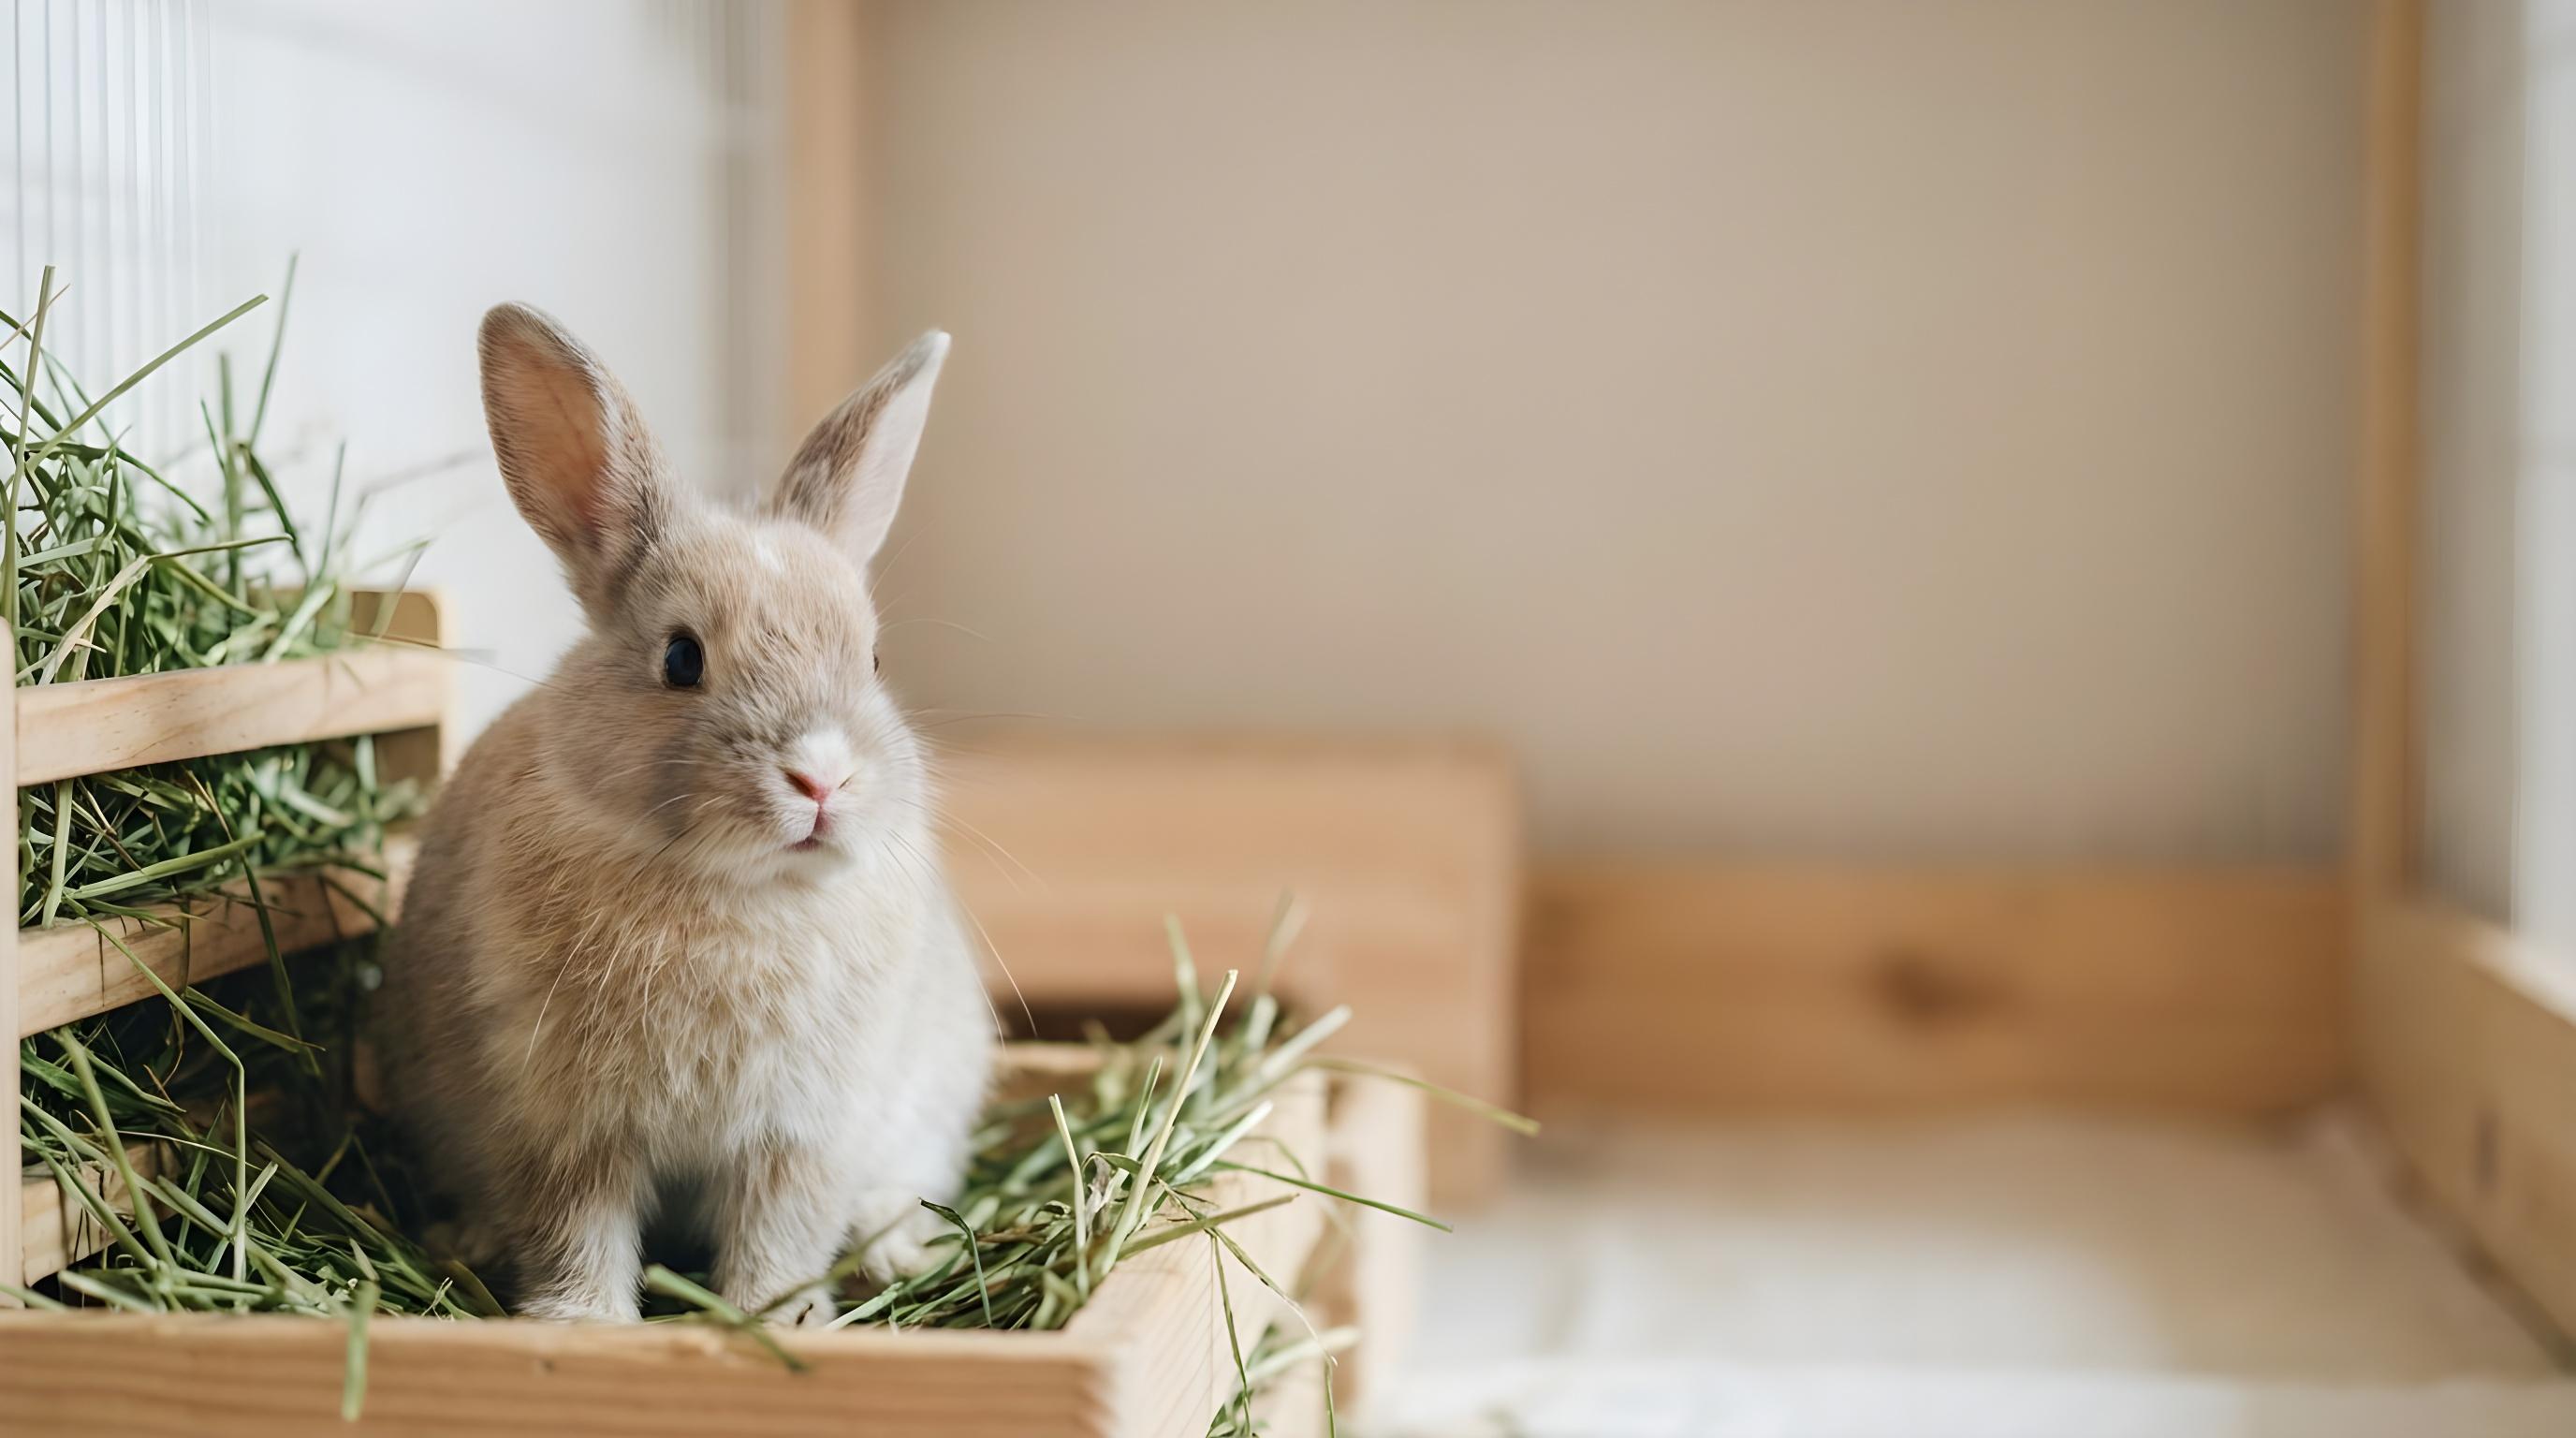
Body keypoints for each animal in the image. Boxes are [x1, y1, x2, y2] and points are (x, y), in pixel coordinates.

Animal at [375, 304, 994, 1324]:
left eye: (871, 661)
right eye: (680, 659)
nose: (821, 778)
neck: (739, 895)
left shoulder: (802, 1132)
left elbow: (784, 1230)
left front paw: (772, 1317)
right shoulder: (562, 1125)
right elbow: (573, 1229)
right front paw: (581, 1322)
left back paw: (899, 1249)